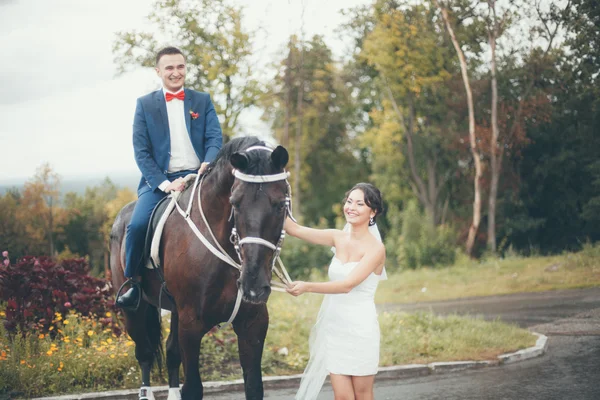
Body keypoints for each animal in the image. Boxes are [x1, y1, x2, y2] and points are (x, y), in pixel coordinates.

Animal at [112, 136, 292, 398]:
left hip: (174, 311)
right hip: (135, 310)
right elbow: (193, 388)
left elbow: (253, 386)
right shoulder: (191, 325)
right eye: (235, 203)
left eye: (280, 205)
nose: (252, 286)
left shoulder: (253, 324)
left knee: (170, 352)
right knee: (144, 352)